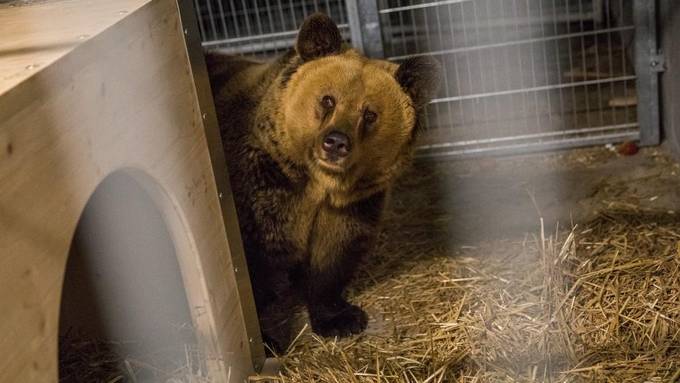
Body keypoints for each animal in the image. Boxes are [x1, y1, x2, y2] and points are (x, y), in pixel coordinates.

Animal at [206, 12, 440, 354]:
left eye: (370, 114)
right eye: (328, 99)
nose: (336, 142)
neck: (317, 184)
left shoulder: (352, 205)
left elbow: (332, 257)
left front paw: (341, 319)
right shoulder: (263, 189)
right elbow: (253, 270)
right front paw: (267, 341)